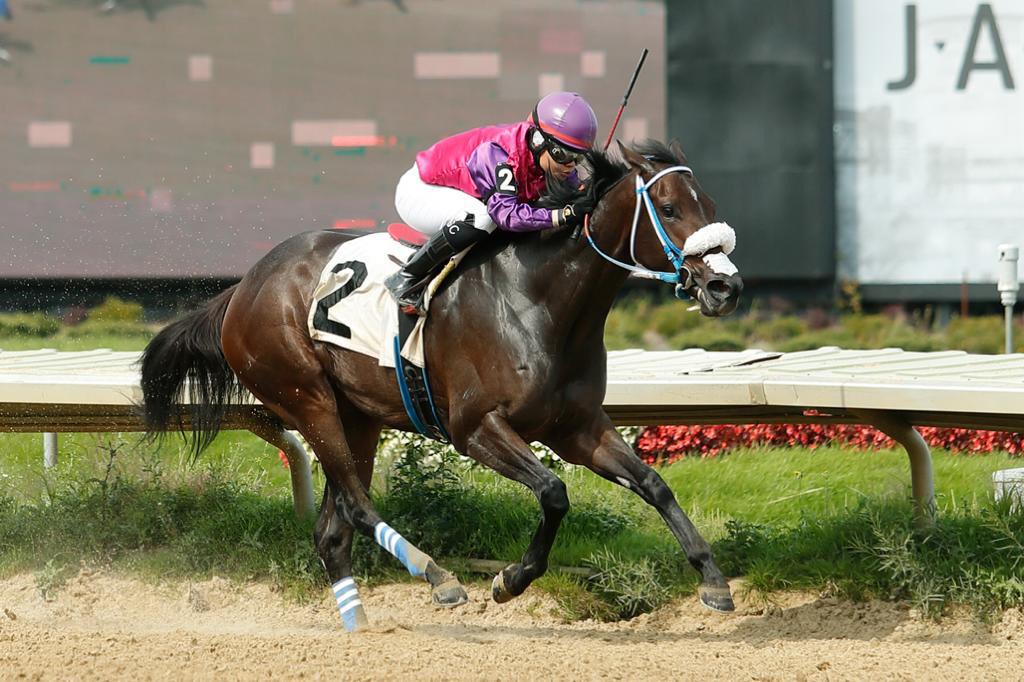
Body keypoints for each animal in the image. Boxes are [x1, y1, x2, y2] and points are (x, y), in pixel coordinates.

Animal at [138, 139, 745, 630]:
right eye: (669, 208)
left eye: (713, 208)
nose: (725, 287)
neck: (537, 300)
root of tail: (243, 287)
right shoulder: (474, 428)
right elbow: (553, 492)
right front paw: (509, 580)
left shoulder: (576, 426)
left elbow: (653, 484)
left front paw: (714, 581)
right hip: (306, 399)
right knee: (357, 505)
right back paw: (438, 576)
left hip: (357, 416)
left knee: (333, 530)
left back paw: (359, 623)